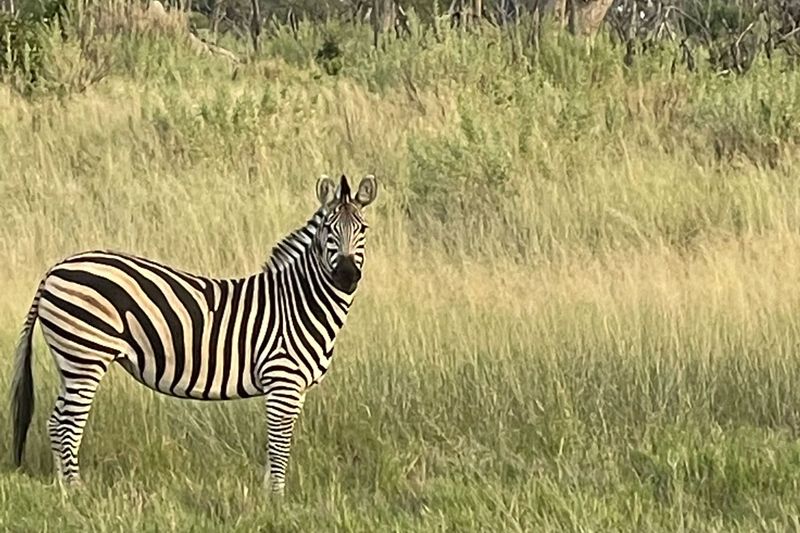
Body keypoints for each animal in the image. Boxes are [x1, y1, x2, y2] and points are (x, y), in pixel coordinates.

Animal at [10, 174, 378, 495]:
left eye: (363, 229)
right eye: (328, 230)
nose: (346, 276)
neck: (299, 301)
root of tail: (55, 268)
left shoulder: (293, 388)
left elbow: (275, 445)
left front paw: (267, 495)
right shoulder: (282, 380)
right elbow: (279, 444)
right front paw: (276, 499)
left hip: (71, 360)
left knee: (55, 422)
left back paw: (63, 488)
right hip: (85, 357)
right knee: (67, 426)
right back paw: (77, 491)